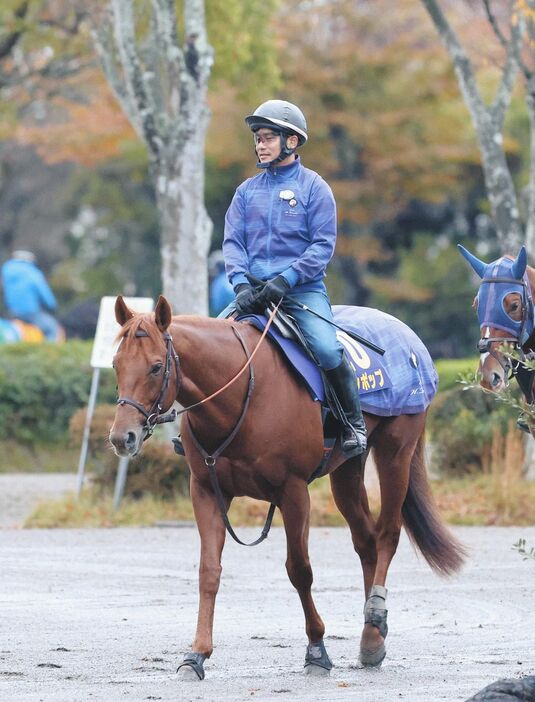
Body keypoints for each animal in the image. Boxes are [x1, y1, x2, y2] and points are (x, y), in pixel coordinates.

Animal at [109, 296, 464, 680]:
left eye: (156, 367)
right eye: (116, 364)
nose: (122, 437)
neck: (244, 393)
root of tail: (410, 339)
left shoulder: (293, 493)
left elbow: (300, 570)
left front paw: (317, 650)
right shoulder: (205, 490)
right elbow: (209, 571)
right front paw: (197, 654)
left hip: (395, 451)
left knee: (387, 534)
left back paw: (375, 614)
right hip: (347, 470)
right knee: (366, 541)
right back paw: (372, 638)